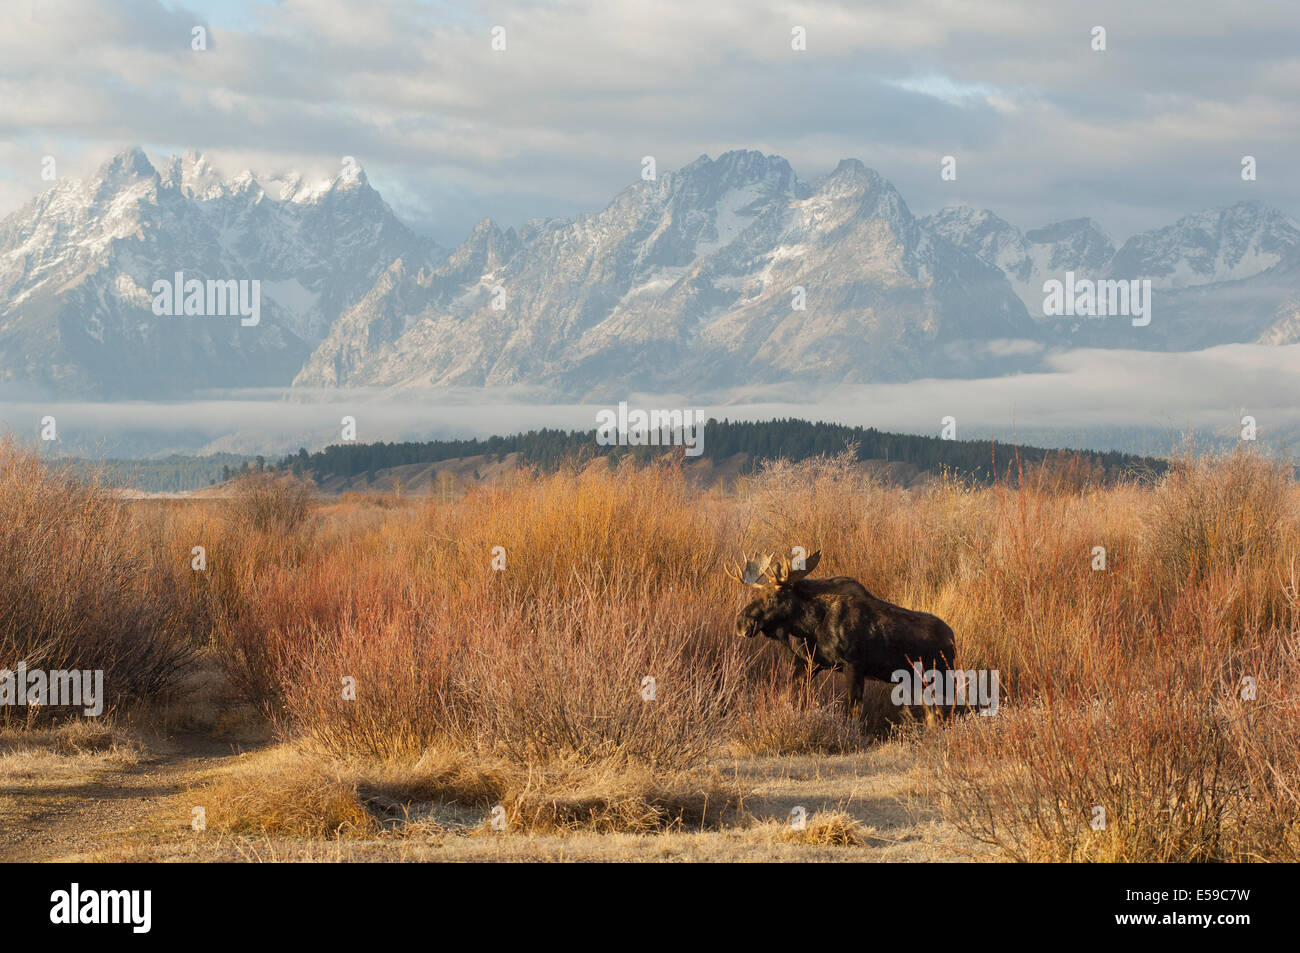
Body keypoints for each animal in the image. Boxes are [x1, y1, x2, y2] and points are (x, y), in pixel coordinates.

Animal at [733, 551, 956, 712]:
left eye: (774, 596)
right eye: (757, 594)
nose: (741, 624)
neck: (810, 625)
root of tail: (953, 639)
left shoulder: (854, 665)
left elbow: (853, 710)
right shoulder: (810, 663)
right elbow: (788, 696)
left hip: (942, 676)